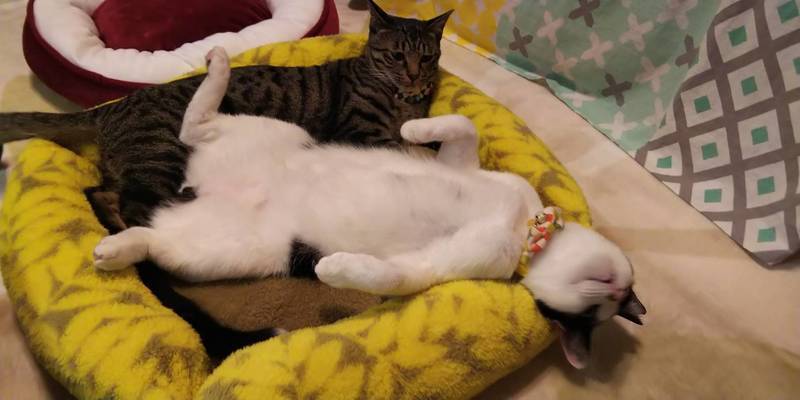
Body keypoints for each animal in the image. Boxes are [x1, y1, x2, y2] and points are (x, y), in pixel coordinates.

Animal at [0, 0, 452, 359]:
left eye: (428, 58)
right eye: (396, 57)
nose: (415, 76)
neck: (399, 100)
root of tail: (113, 106)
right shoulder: (361, 133)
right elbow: (410, 148)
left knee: (102, 194)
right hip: (171, 155)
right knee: (142, 211)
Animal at [93, 47, 646, 369]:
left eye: (600, 308)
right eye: (610, 289)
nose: (616, 289)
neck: (526, 225)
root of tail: (199, 188)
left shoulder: (449, 266)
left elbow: (396, 276)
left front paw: (336, 270)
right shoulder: (466, 165)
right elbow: (460, 127)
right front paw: (413, 129)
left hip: (231, 247)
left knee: (155, 238)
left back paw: (115, 249)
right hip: (275, 133)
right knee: (194, 126)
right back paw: (219, 63)